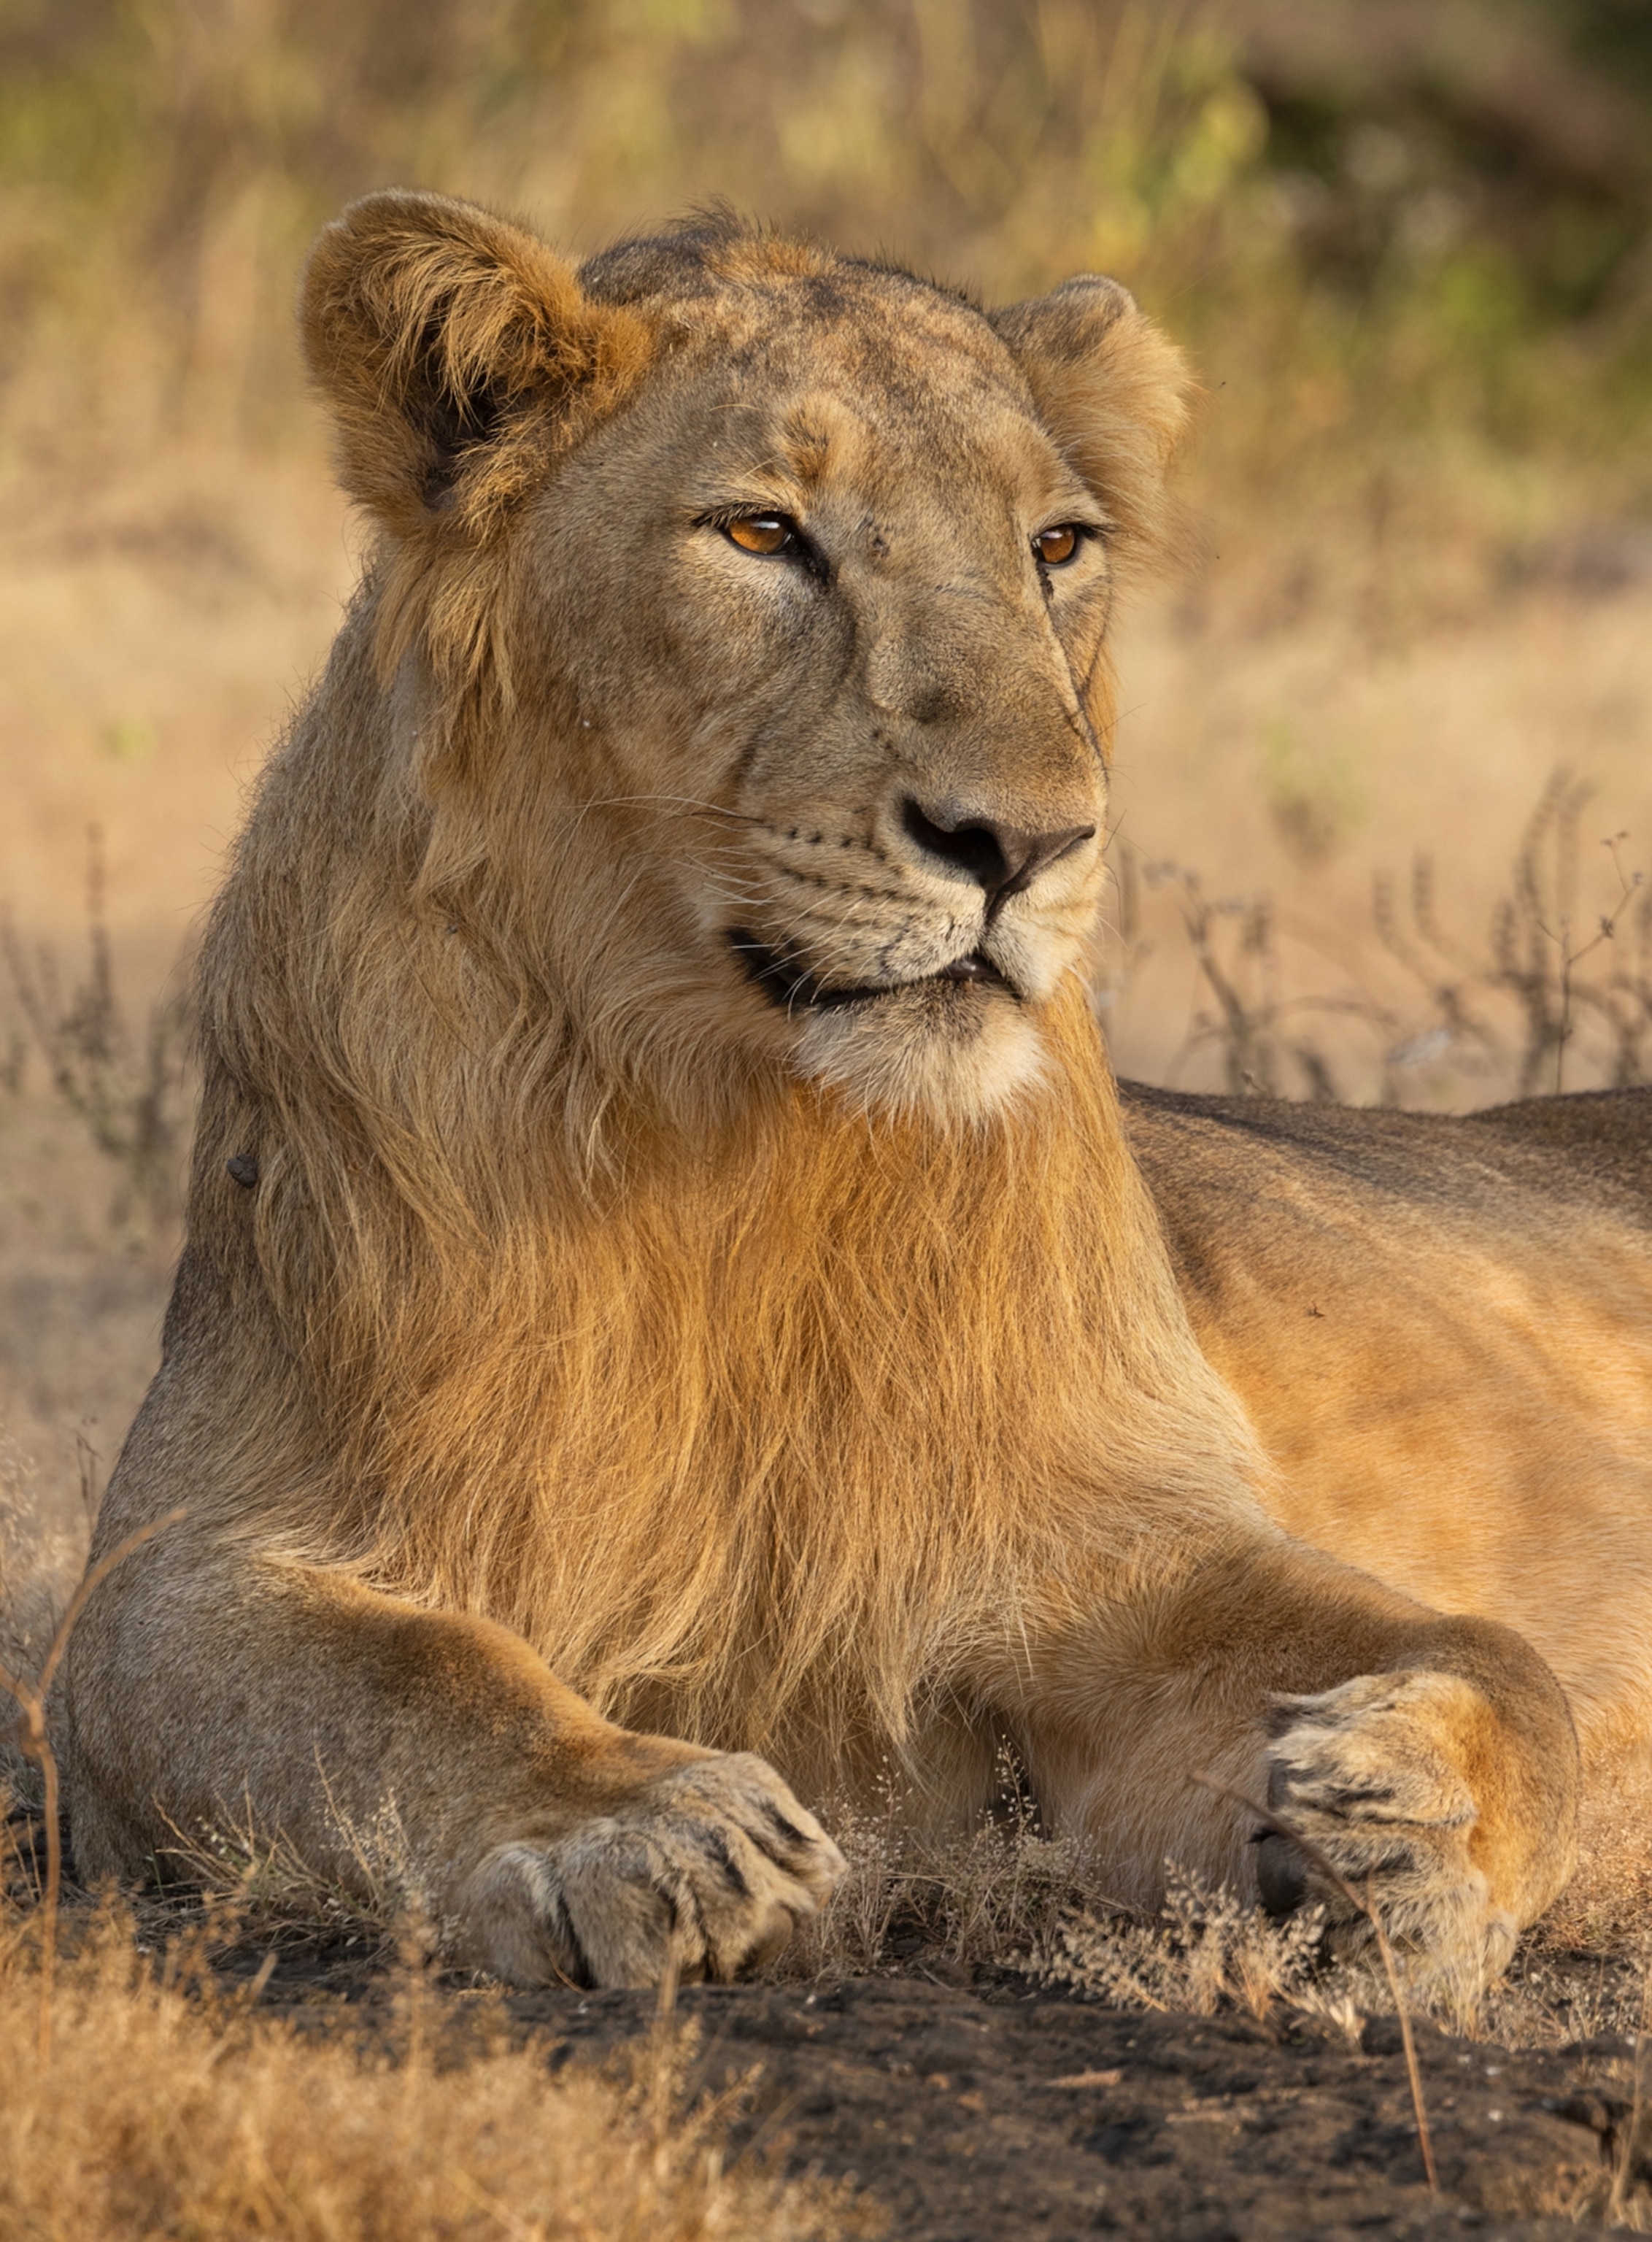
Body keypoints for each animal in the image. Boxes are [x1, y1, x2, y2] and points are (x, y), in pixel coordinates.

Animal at [64, 191, 1650, 1997]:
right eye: (761, 532)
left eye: (1056, 548)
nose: (1026, 842)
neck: (727, 1140)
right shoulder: (179, 1554)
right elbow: (410, 1680)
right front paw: (652, 1833)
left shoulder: (1107, 1538)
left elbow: (1495, 1655)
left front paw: (1399, 1818)